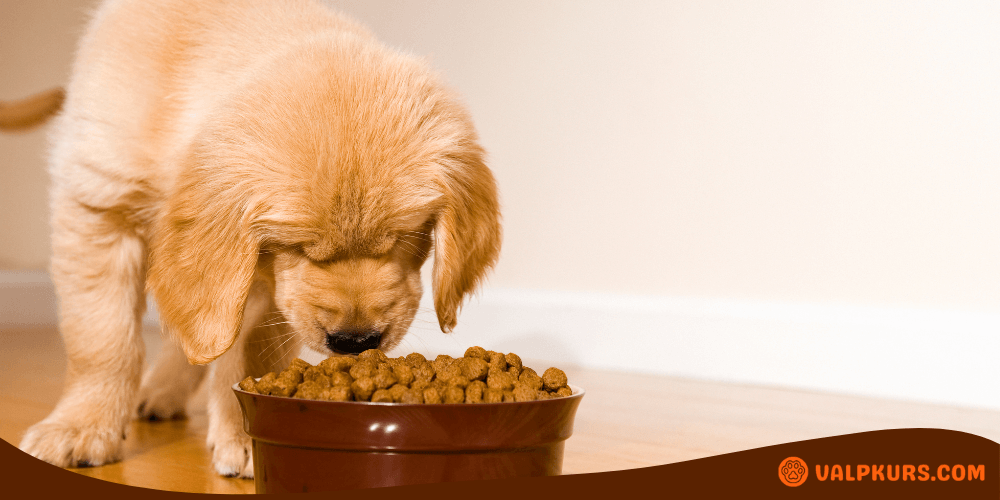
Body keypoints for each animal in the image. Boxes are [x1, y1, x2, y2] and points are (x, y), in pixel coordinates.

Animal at [13, 0, 500, 478]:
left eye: (404, 237)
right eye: (298, 246)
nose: (356, 342)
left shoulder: (264, 283)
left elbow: (249, 352)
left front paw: (246, 431)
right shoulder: (97, 203)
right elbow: (102, 339)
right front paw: (81, 427)